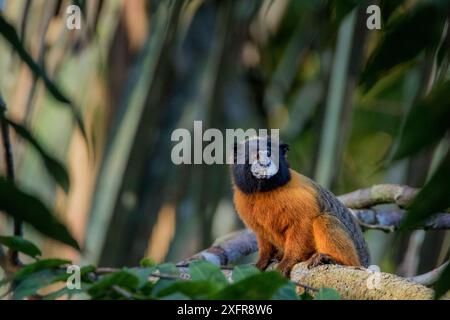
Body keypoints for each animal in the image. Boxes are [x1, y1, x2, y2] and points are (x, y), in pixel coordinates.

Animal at [232, 136, 370, 276]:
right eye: (255, 155)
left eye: (269, 154)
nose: (265, 163)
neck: (264, 191)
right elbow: (262, 235)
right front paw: (264, 259)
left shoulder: (301, 197)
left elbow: (303, 224)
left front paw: (288, 260)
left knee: (324, 219)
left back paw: (334, 260)